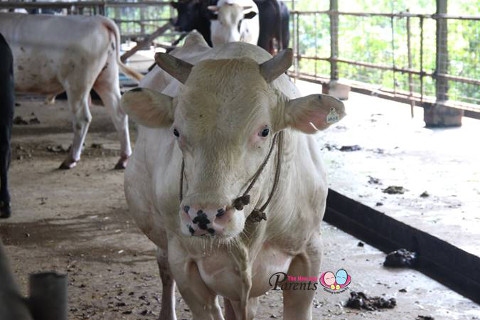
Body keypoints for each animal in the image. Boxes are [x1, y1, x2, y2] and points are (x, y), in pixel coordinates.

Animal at [0, 13, 142, 170]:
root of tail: (98, 19)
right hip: (107, 77)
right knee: (118, 113)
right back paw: (123, 158)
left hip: (77, 82)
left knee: (82, 118)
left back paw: (70, 159)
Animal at [122, 31, 344, 320]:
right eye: (176, 131)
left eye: (264, 131)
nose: (203, 215)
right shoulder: (184, 261)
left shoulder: (309, 253)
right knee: (164, 269)